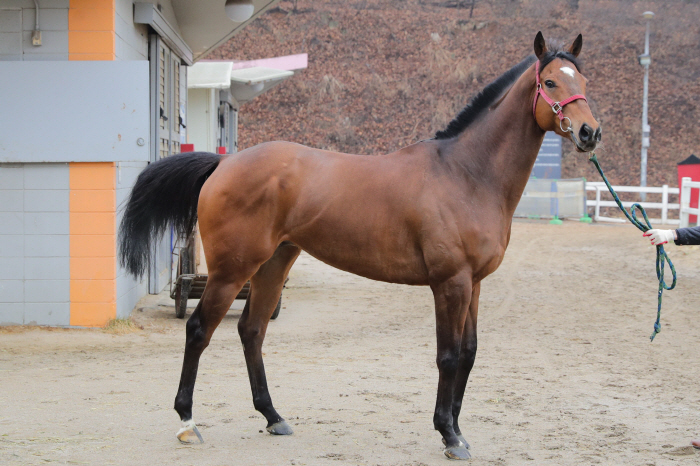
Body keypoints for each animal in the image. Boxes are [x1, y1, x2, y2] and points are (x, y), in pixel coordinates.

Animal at [120, 32, 600, 458]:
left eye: (583, 80)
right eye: (551, 82)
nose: (589, 133)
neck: (466, 174)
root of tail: (225, 162)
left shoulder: (474, 284)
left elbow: (468, 353)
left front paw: (460, 432)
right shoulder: (450, 283)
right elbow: (447, 356)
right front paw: (447, 435)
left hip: (274, 264)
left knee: (251, 332)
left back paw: (273, 417)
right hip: (231, 270)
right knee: (199, 330)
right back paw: (187, 423)